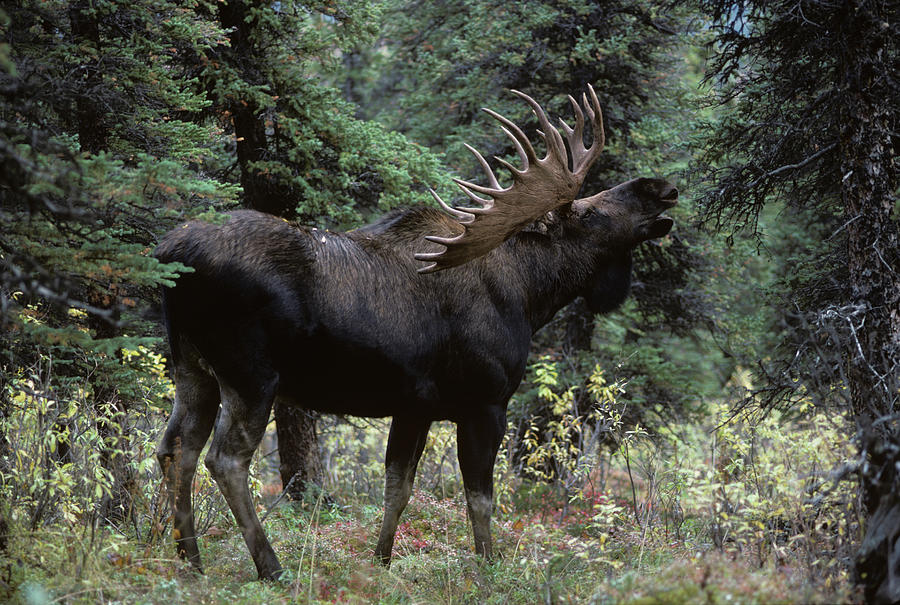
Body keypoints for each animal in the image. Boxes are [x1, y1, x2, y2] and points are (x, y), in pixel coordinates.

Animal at [155, 82, 680, 580]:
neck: (530, 296)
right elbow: (480, 498)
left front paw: (381, 561)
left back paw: (190, 561)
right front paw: (488, 566)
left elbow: (398, 488)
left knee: (175, 449)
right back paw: (270, 567)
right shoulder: (485, 402)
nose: (660, 187)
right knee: (225, 459)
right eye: (589, 212)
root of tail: (169, 250)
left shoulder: (415, 406)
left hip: (191, 366)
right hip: (250, 373)